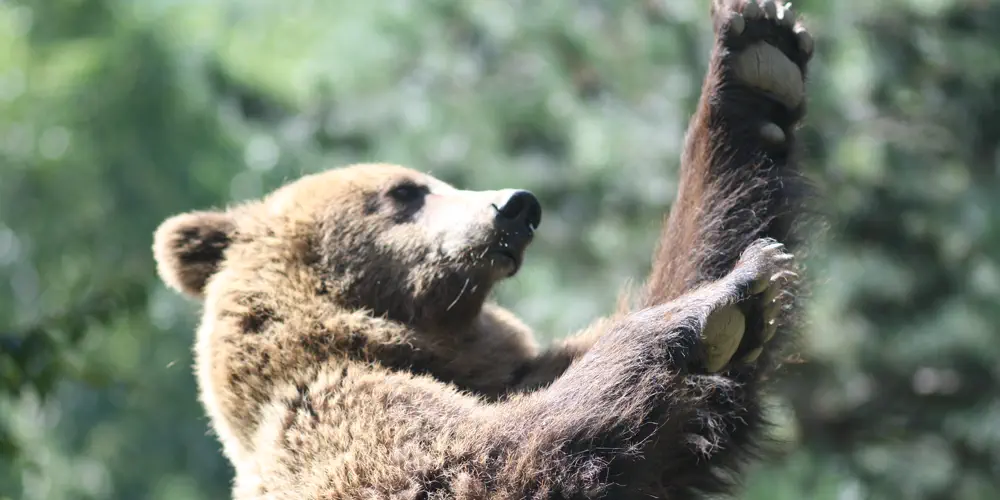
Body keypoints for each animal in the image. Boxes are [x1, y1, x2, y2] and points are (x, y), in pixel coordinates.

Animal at [152, 0, 815, 498]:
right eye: (404, 191)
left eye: (435, 179)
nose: (517, 206)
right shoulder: (335, 422)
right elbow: (487, 462)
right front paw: (721, 300)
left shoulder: (506, 372)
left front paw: (759, 62)